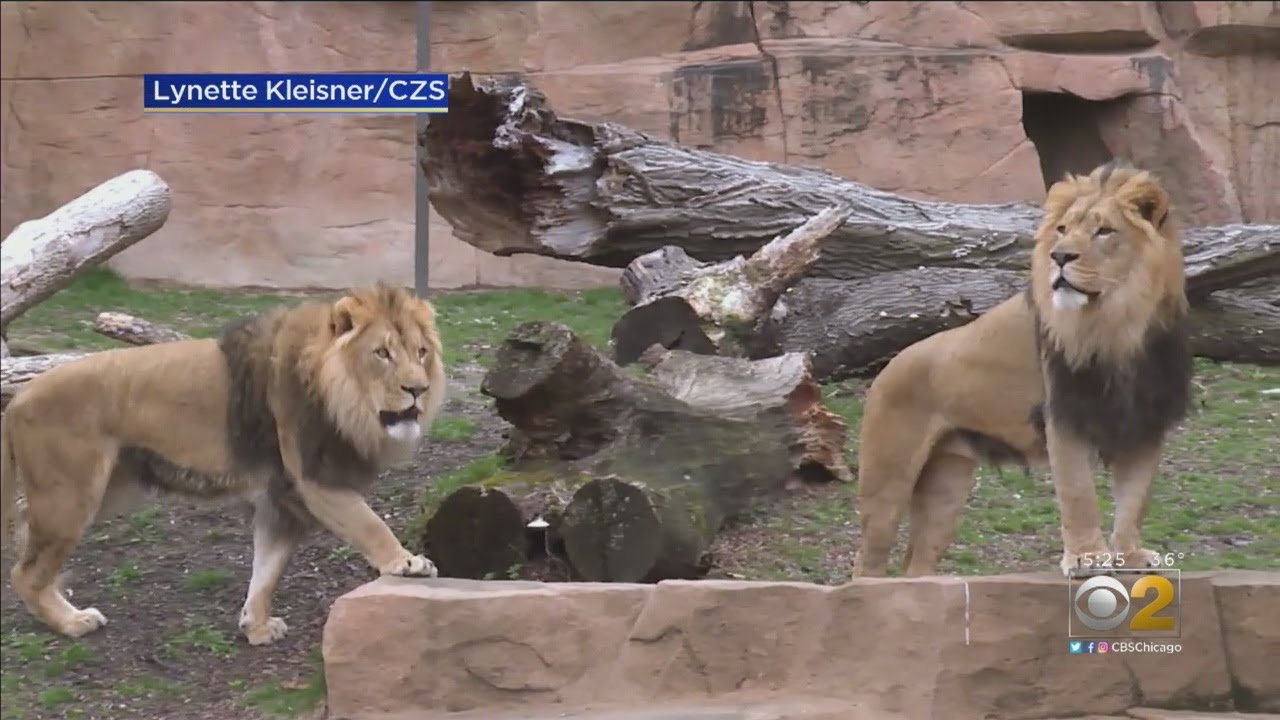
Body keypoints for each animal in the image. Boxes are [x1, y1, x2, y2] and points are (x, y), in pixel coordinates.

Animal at [0, 281, 448, 645]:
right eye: (382, 353)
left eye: (421, 352)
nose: (418, 389)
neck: (342, 399)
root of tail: (17, 400)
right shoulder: (314, 480)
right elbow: (369, 523)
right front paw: (407, 562)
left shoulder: (281, 500)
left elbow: (267, 569)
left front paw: (256, 626)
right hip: (71, 496)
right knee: (24, 572)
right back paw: (71, 622)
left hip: (106, 490)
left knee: (28, 539)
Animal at [855, 161, 1192, 576]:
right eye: (1062, 230)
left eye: (1104, 231)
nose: (1060, 257)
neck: (1121, 321)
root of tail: (889, 366)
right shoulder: (1063, 416)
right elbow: (1078, 493)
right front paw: (1086, 558)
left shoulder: (1145, 422)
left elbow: (1135, 499)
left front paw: (1131, 556)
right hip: (888, 480)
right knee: (867, 564)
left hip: (946, 486)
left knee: (916, 566)